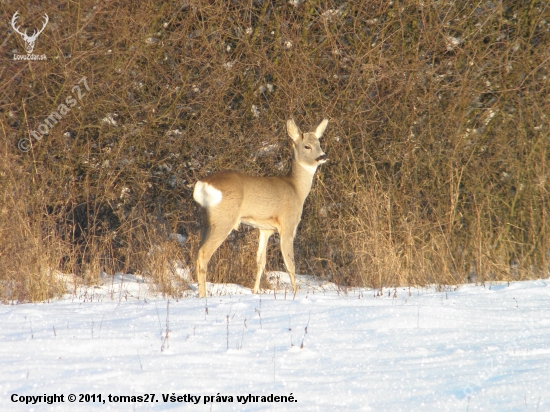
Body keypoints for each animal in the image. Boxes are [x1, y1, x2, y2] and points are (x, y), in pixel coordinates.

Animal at [196, 118, 330, 296]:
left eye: (319, 143)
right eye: (307, 146)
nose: (323, 156)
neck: (296, 189)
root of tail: (202, 184)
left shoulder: (265, 229)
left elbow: (260, 261)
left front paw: (255, 292)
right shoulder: (288, 225)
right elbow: (290, 264)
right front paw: (296, 293)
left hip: (206, 221)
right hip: (224, 219)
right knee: (203, 254)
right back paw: (202, 296)